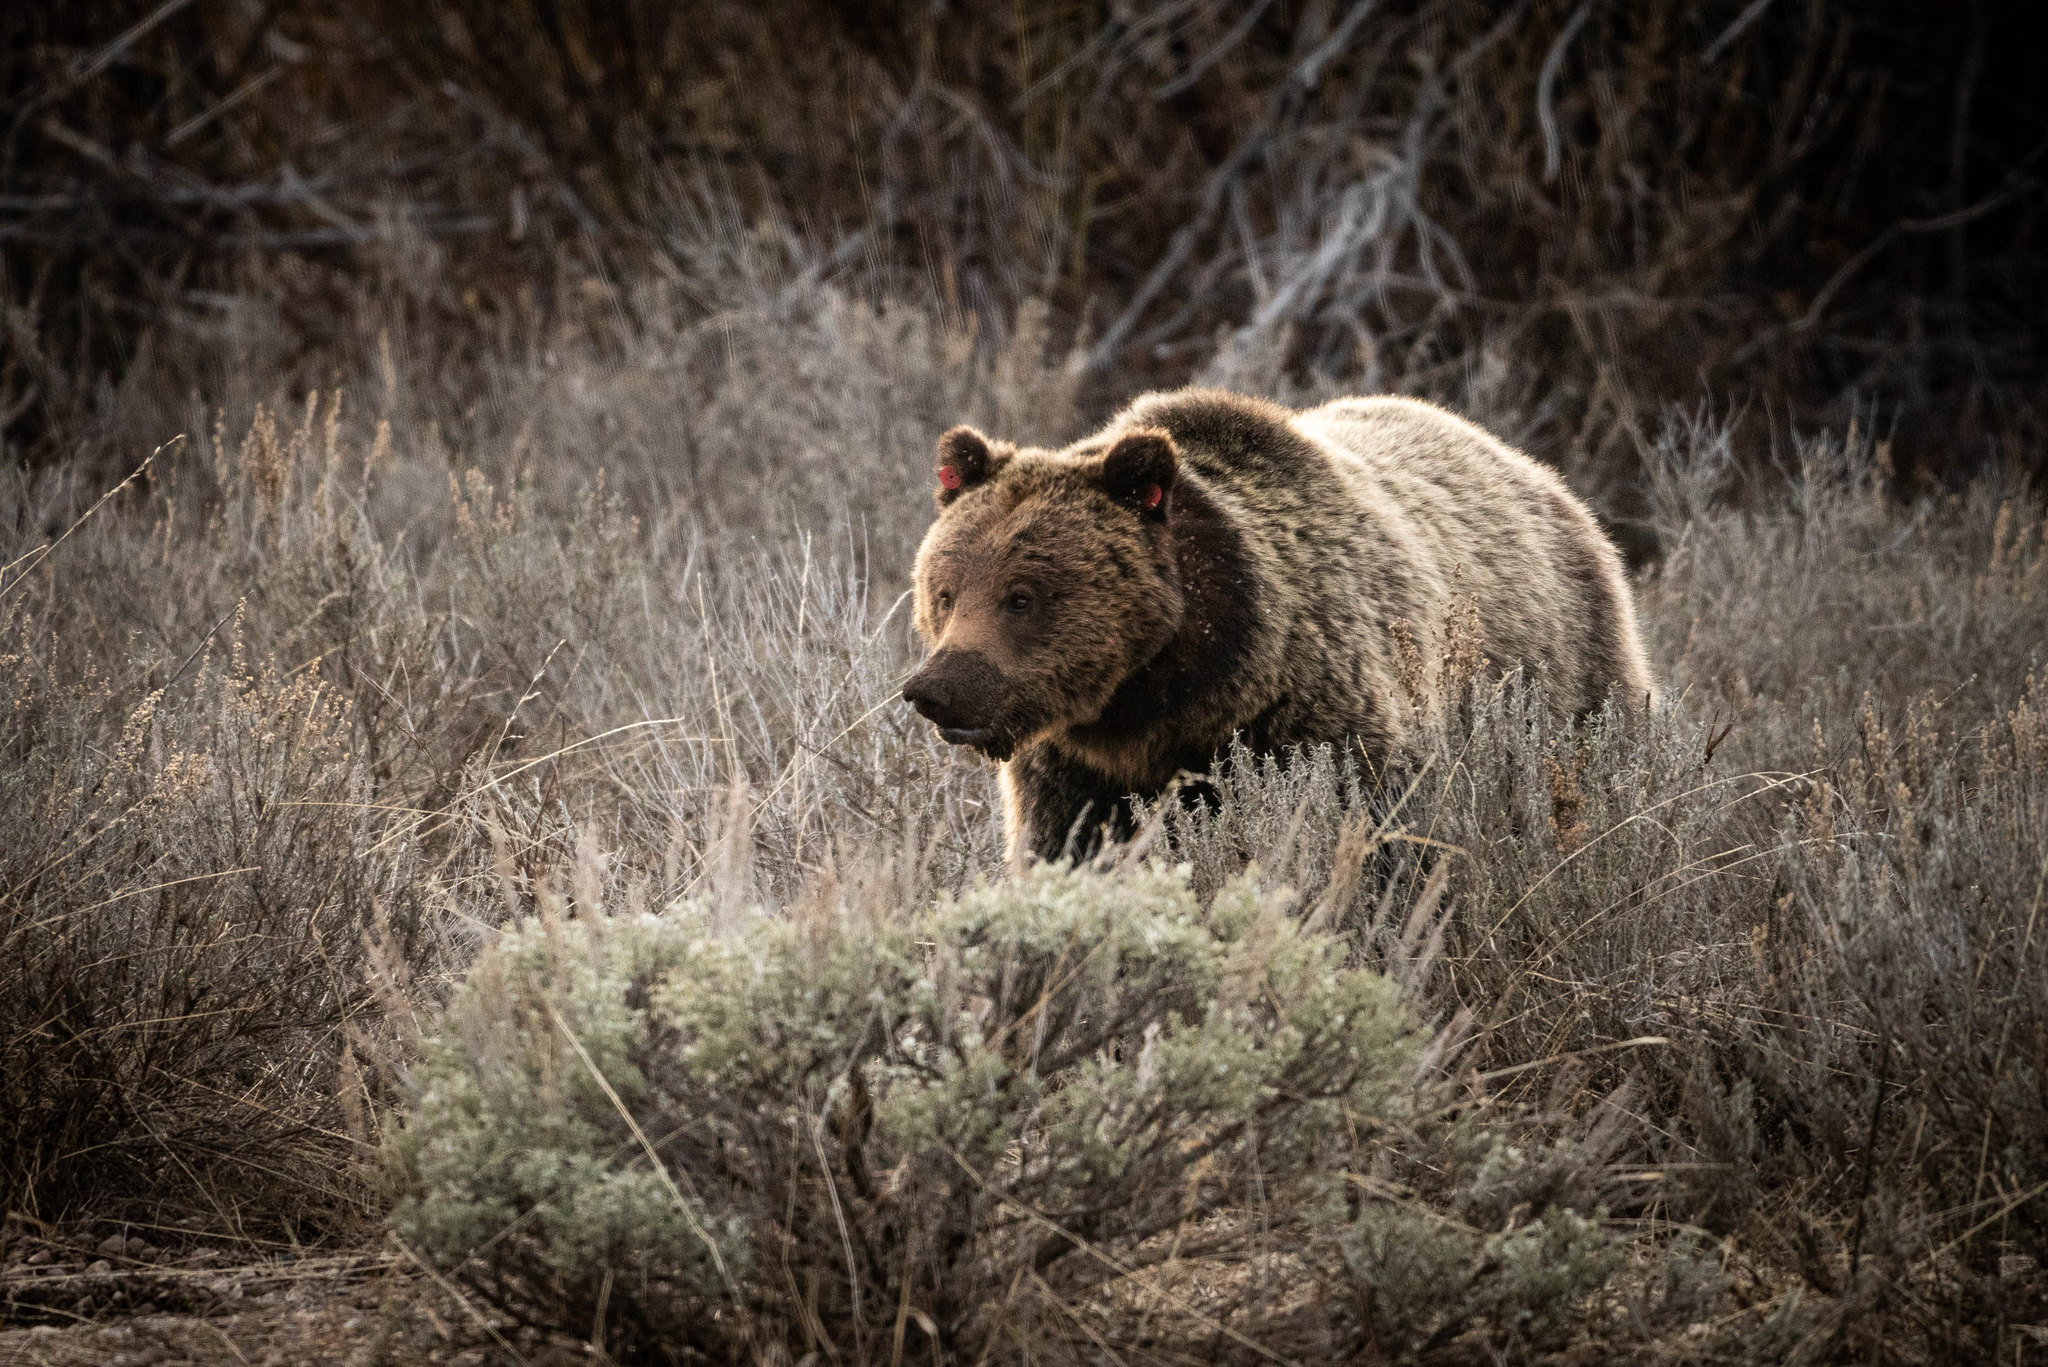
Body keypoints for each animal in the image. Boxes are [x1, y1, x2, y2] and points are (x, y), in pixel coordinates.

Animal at [905, 389, 1654, 860]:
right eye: (944, 591)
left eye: (1022, 596)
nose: (936, 688)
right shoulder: (1078, 769)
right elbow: (1071, 847)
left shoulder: (1317, 714)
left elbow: (1377, 838)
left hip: (1564, 668)